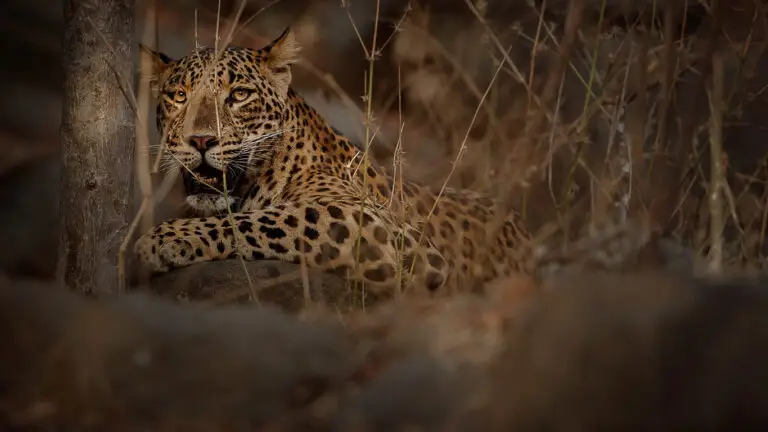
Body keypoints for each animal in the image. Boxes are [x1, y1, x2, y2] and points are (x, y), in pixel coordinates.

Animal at [134, 28, 532, 295]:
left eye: (239, 95)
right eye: (179, 96)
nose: (200, 140)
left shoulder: (390, 232)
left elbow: (262, 219)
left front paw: (162, 239)